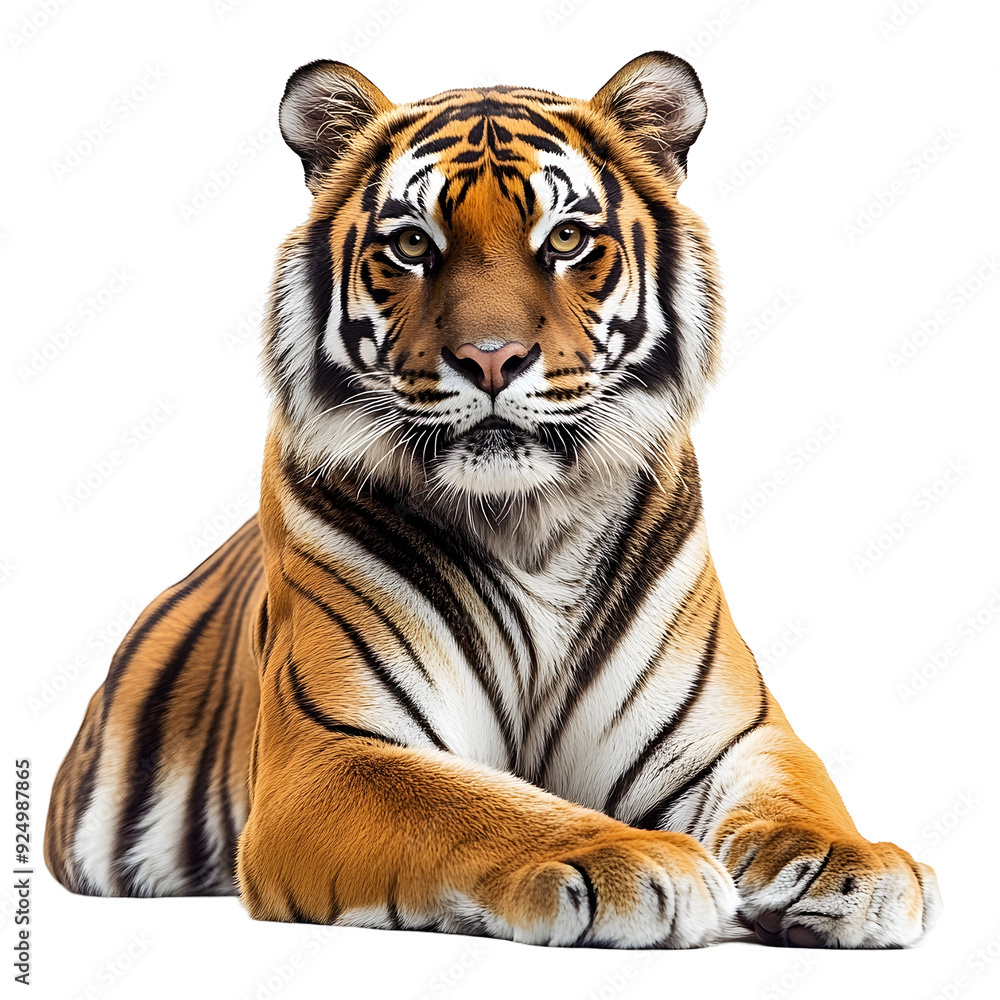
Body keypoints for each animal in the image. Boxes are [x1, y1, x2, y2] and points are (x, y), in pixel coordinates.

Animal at [44, 51, 941, 950]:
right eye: (412, 244)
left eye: (567, 238)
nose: (491, 358)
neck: (528, 522)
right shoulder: (330, 753)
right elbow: (475, 805)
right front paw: (636, 859)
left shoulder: (731, 736)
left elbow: (798, 795)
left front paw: (857, 869)